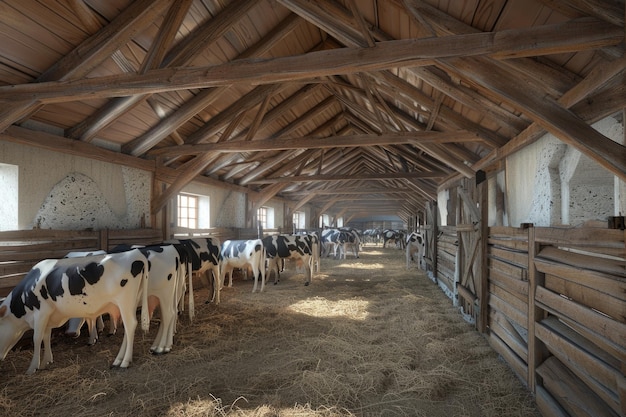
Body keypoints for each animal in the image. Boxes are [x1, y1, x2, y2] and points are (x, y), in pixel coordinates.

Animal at [0, 249, 149, 372]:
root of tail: (136, 254)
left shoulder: (41, 312)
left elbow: (37, 338)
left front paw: (32, 367)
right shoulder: (49, 317)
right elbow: (46, 337)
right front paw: (46, 361)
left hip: (125, 302)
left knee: (130, 325)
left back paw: (124, 362)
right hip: (128, 304)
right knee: (127, 329)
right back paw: (118, 360)